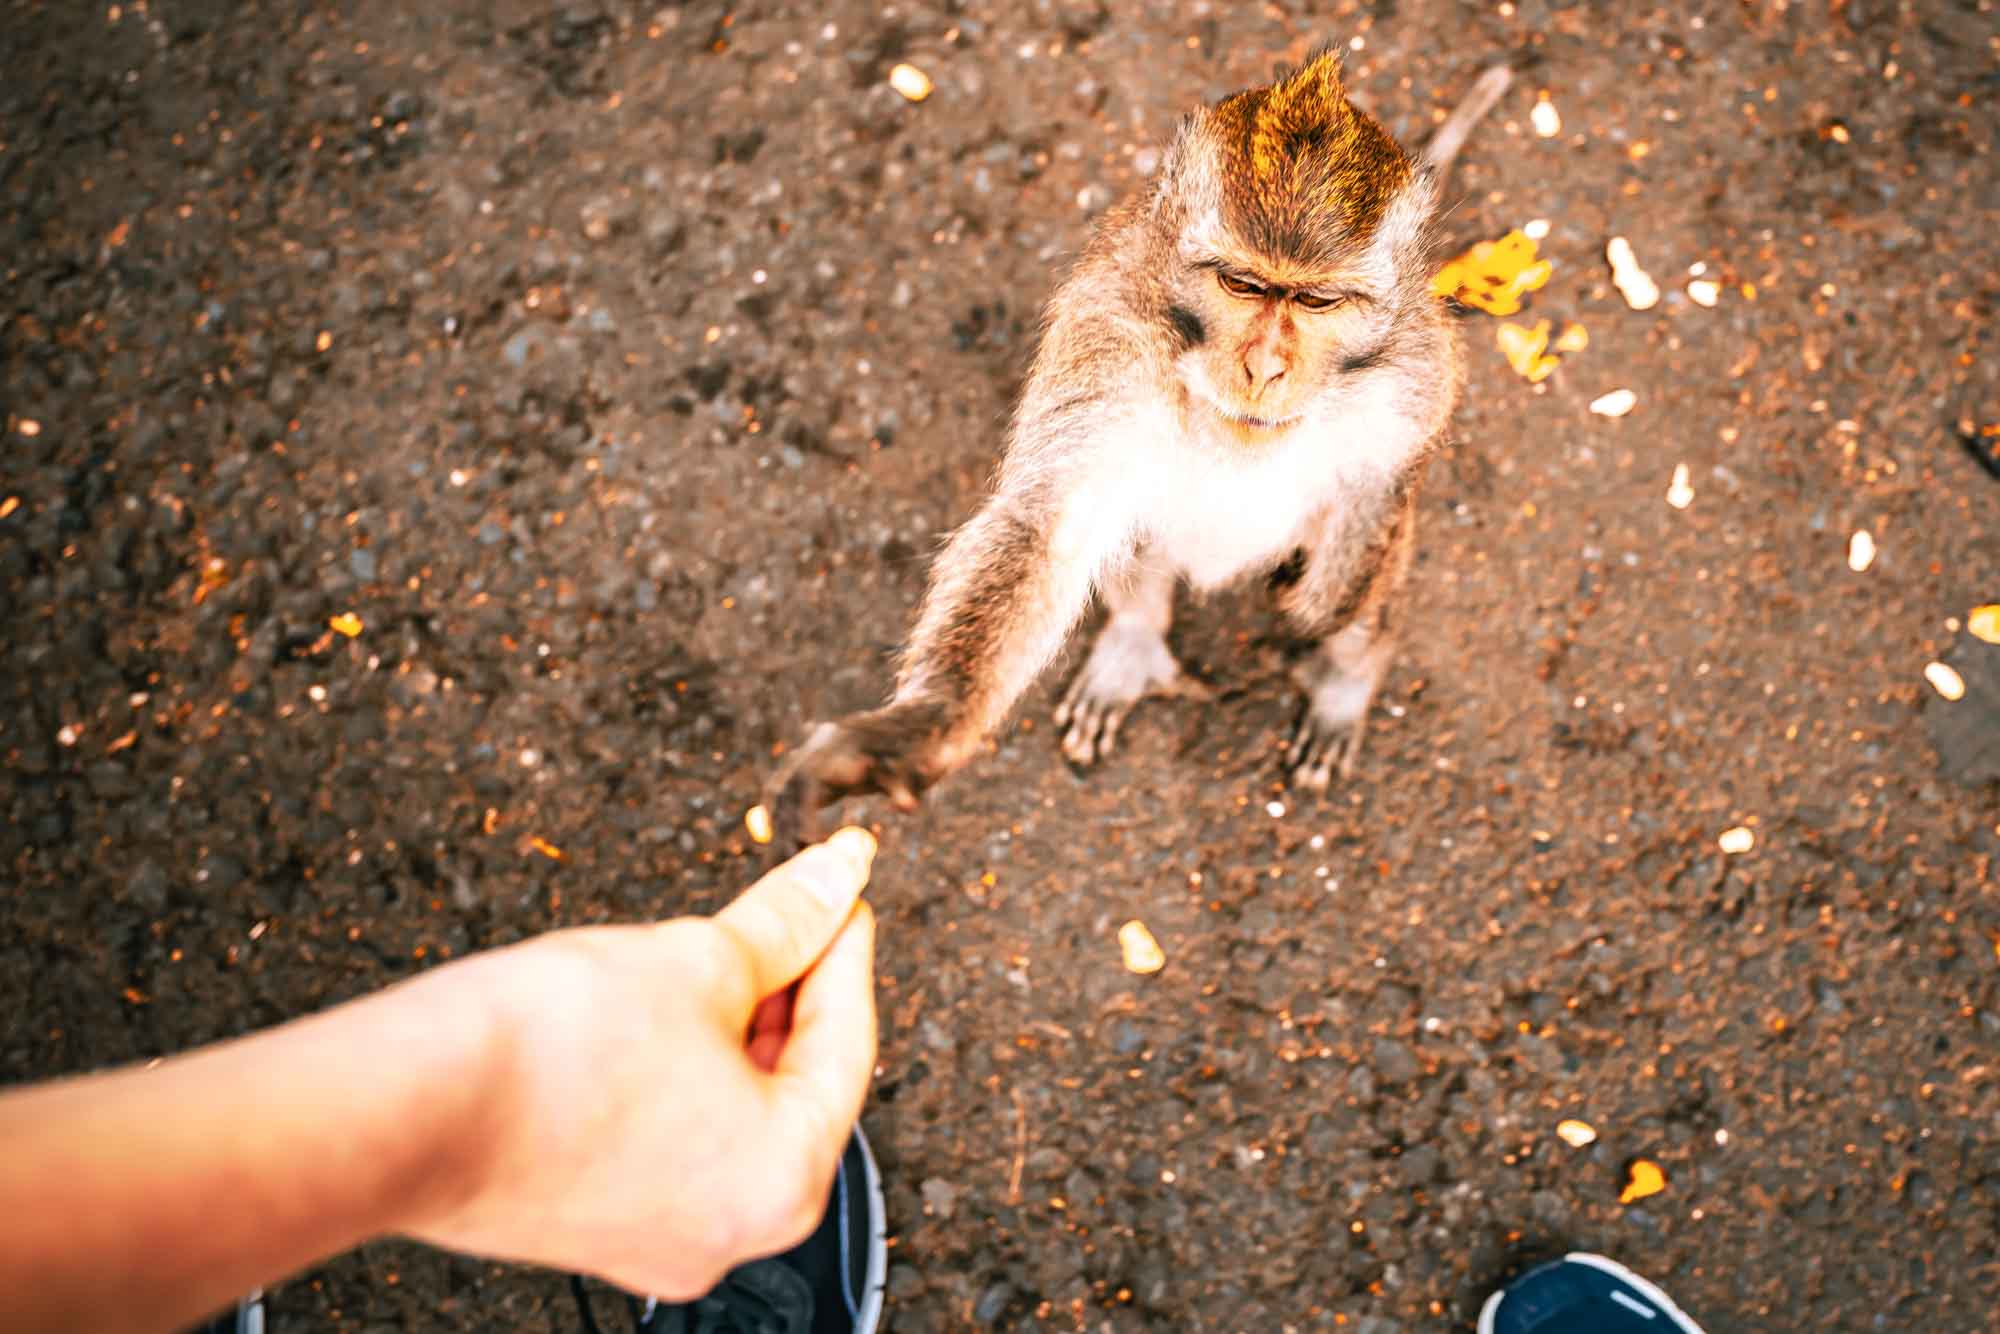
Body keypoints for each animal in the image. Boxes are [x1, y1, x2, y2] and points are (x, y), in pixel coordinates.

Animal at [768, 52, 1514, 836]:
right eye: (1241, 284)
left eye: (1316, 300)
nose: (1264, 367)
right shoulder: (1106, 336)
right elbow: (1057, 524)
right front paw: (921, 733)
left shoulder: (1417, 374)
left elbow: (1384, 487)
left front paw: (1330, 623)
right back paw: (1134, 644)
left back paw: (1344, 678)